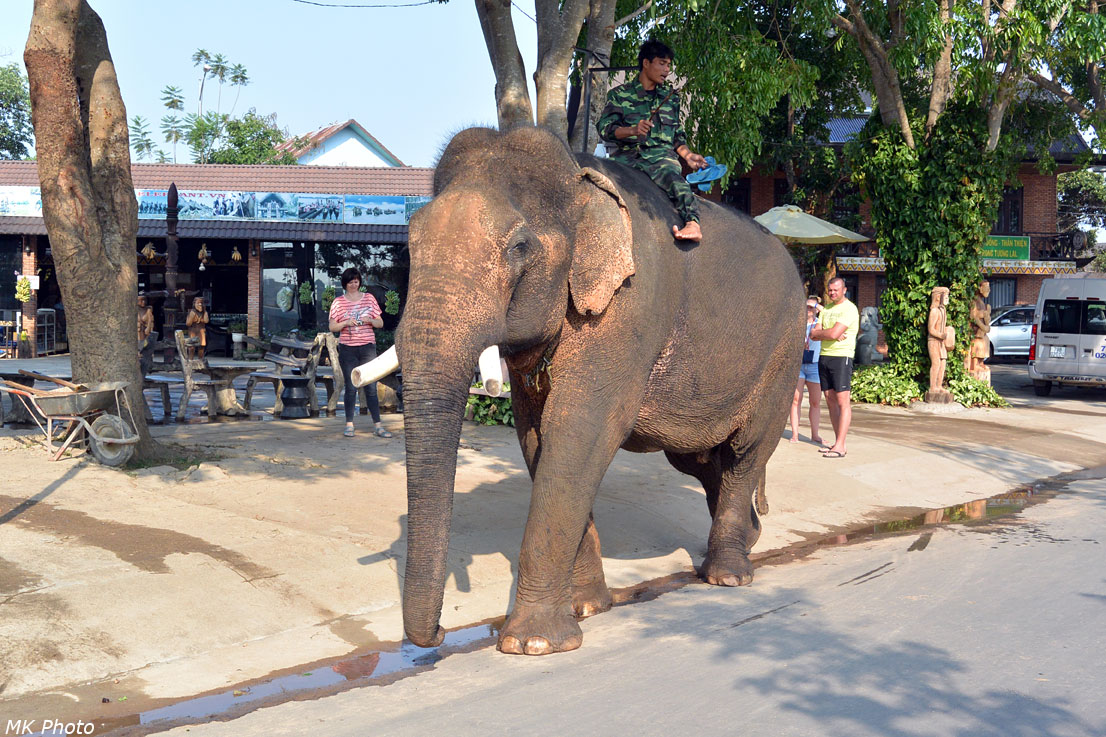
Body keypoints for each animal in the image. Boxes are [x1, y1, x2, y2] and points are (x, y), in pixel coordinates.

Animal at [391, 126, 805, 655]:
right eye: (410, 242)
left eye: (519, 247)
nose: (441, 633)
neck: (577, 174)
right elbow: (538, 438)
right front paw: (585, 608)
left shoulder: (628, 309)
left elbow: (579, 433)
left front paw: (533, 644)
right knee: (699, 459)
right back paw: (751, 538)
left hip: (784, 355)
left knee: (745, 452)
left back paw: (729, 575)